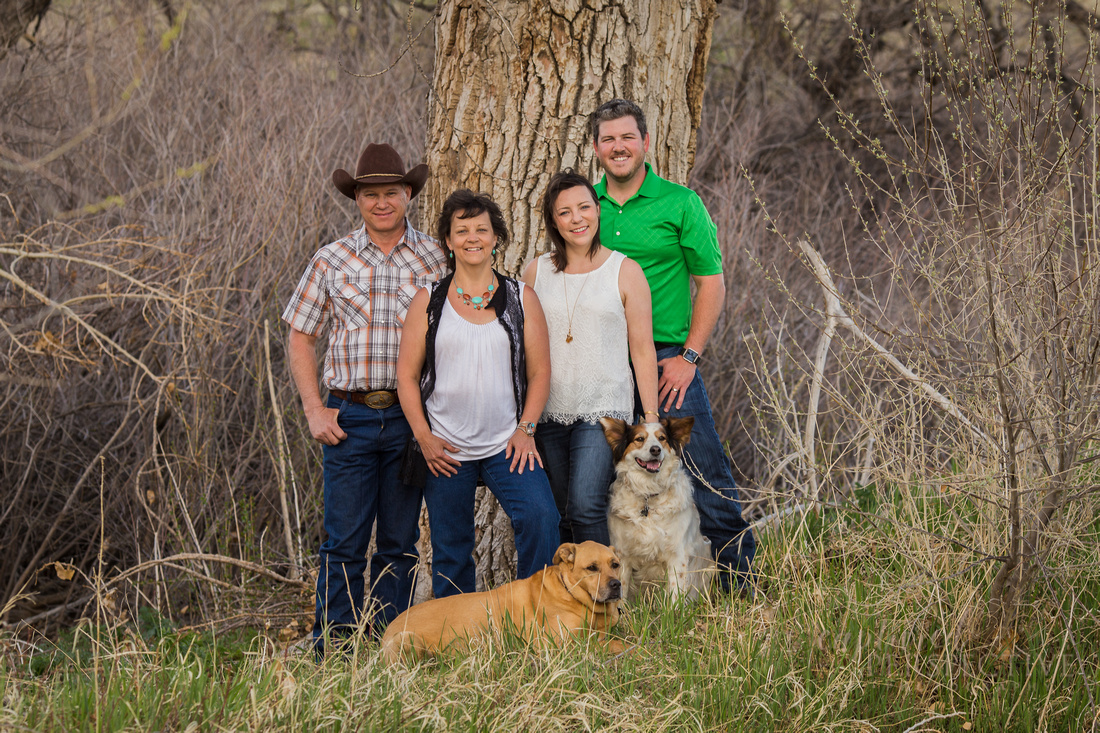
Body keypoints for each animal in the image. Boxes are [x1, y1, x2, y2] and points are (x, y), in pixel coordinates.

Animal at [382, 537, 624, 660]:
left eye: (615, 564)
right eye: (592, 568)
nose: (616, 585)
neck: (572, 594)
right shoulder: (558, 643)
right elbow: (613, 644)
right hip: (407, 639)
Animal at [598, 416, 717, 598]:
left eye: (662, 438)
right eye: (640, 439)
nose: (655, 449)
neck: (648, 494)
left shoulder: (678, 555)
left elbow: (675, 592)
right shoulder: (622, 554)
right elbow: (621, 589)